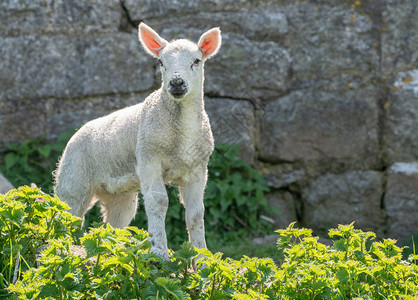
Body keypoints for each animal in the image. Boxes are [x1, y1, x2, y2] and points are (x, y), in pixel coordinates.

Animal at [54, 22, 222, 258]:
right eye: (161, 62)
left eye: (196, 61)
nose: (176, 83)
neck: (181, 134)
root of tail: (78, 131)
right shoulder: (148, 157)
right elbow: (158, 202)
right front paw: (159, 252)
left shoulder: (197, 169)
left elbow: (196, 214)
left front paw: (202, 258)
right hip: (73, 179)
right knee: (65, 215)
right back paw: (58, 248)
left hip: (119, 195)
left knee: (112, 226)